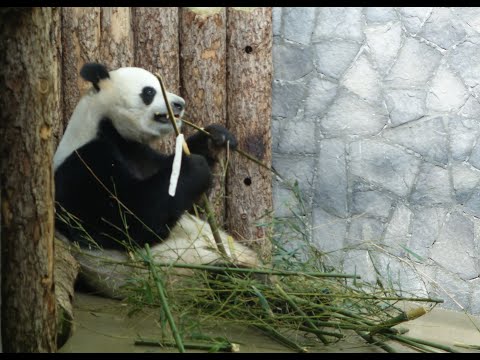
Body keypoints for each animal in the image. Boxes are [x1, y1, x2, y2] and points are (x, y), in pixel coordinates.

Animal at [54, 62, 260, 298]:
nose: (179, 104)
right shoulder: (84, 167)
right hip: (187, 273)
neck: (105, 127)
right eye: (149, 92)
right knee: (230, 279)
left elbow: (189, 203)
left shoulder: (139, 153)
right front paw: (195, 166)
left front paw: (215, 138)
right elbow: (134, 220)